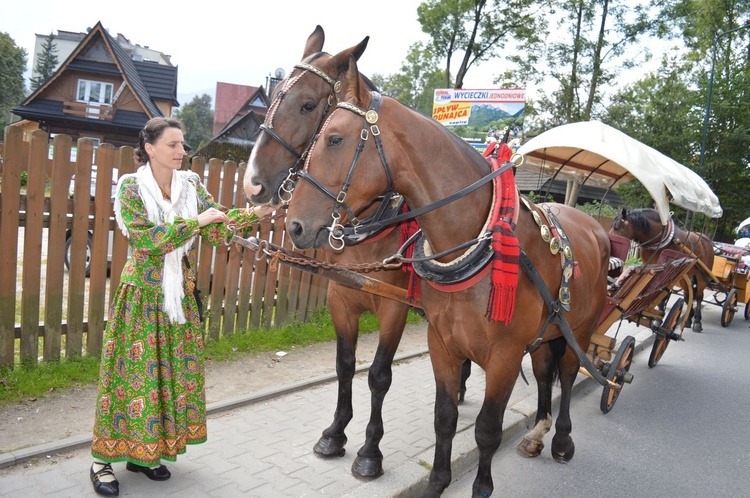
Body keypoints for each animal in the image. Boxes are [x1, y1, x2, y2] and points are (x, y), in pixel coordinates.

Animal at [244, 26, 472, 478]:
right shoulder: (341, 298)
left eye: (308, 105)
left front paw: (370, 449)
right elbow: (345, 366)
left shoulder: (394, 308)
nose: (253, 183)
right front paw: (335, 433)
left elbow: (379, 375)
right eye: (274, 95)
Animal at [282, 57, 612, 494]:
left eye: (334, 139)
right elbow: (443, 416)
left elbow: (486, 429)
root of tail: (595, 227)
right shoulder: (439, 343)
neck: (473, 241)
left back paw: (560, 440)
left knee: (570, 375)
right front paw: (436, 482)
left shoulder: (502, 357)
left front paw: (478, 486)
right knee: (545, 374)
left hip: (581, 329)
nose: (296, 225)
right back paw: (537, 433)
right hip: (548, 332)